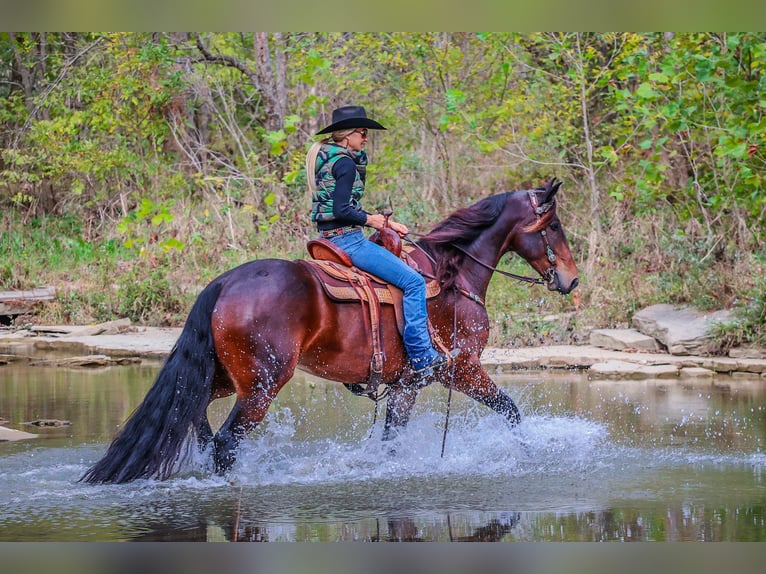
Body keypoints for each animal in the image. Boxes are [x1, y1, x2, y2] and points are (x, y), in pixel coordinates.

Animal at [80, 178, 579, 484]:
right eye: (553, 225)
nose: (571, 281)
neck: (451, 277)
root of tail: (224, 282)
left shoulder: (407, 384)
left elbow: (391, 441)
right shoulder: (459, 369)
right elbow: (512, 411)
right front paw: (525, 455)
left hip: (223, 377)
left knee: (197, 418)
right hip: (261, 386)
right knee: (225, 441)